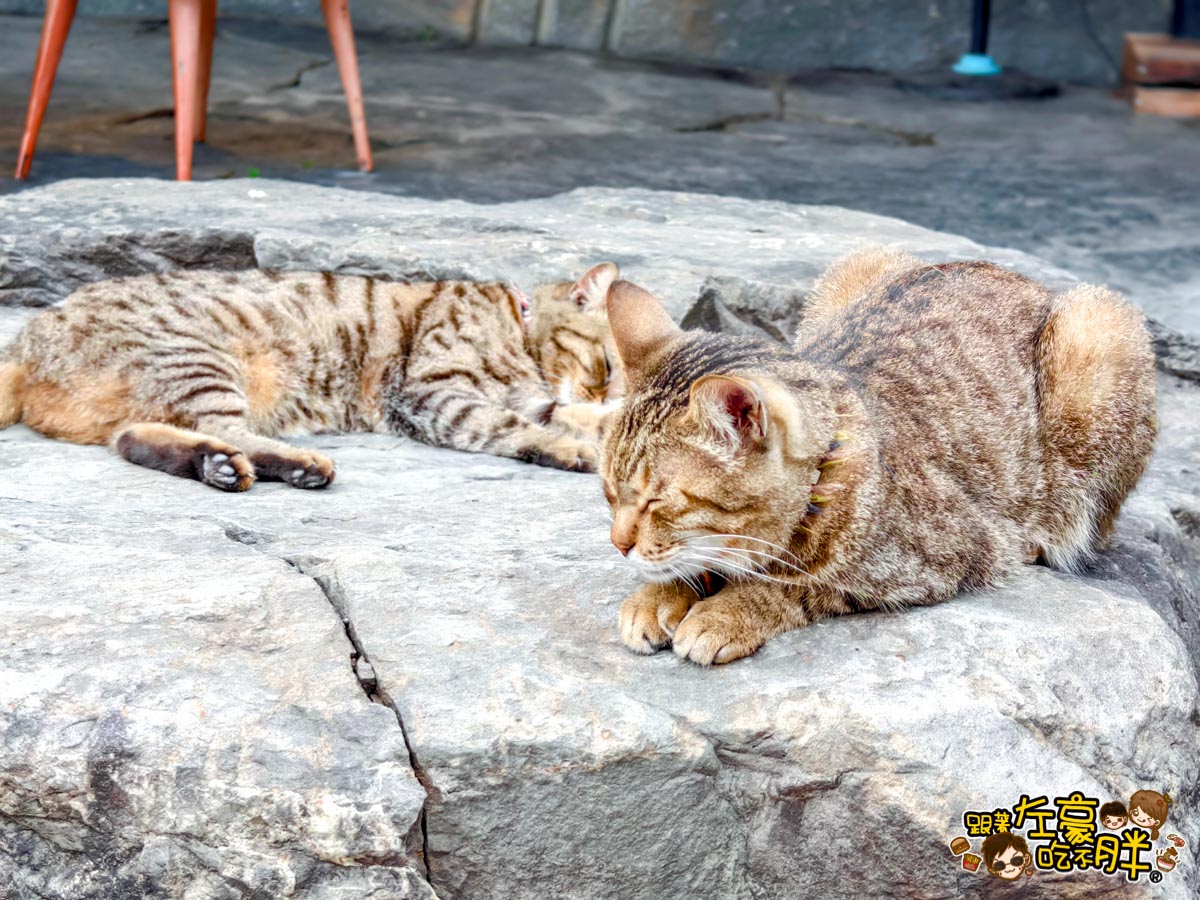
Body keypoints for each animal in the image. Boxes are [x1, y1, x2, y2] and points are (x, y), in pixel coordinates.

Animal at [0, 260, 619, 489]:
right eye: (609, 364)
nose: (609, 388)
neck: (517, 328)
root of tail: (23, 343)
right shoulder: (431, 392)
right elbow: (509, 426)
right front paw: (570, 448)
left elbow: (571, 415)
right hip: (198, 360)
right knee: (225, 428)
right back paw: (293, 463)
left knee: (134, 439)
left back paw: (217, 466)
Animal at [604, 250, 1156, 667]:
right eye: (609, 494)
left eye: (656, 501)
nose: (618, 545)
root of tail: (1024, 280)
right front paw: (660, 596)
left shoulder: (944, 557)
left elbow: (803, 585)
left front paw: (725, 613)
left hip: (1098, 329)